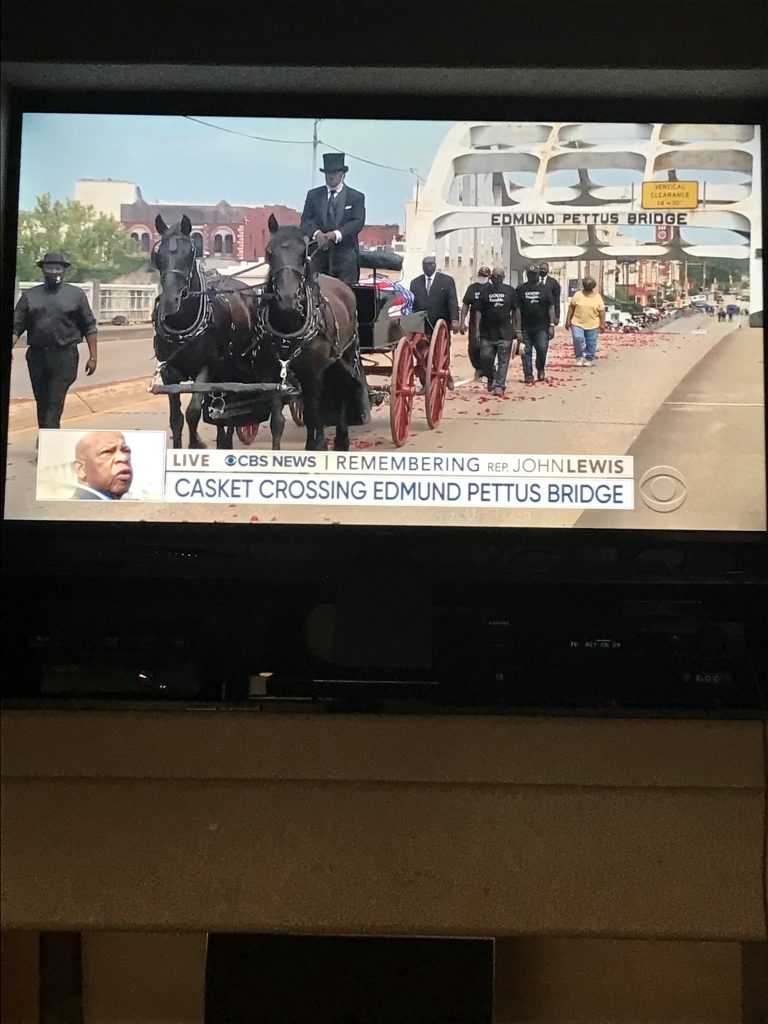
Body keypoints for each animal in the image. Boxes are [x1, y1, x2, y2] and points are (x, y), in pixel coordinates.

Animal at [151, 212, 257, 448]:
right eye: (158, 255)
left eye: (190, 253)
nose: (170, 301)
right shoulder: (168, 372)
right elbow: (176, 418)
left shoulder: (206, 368)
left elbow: (193, 412)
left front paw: (195, 444)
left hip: (230, 367)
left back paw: (226, 441)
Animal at [262, 214, 370, 450]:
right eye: (269, 252)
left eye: (303, 255)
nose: (287, 300)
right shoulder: (274, 372)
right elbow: (277, 420)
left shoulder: (313, 371)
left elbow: (313, 412)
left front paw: (318, 445)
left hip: (346, 357)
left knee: (341, 391)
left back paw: (341, 440)